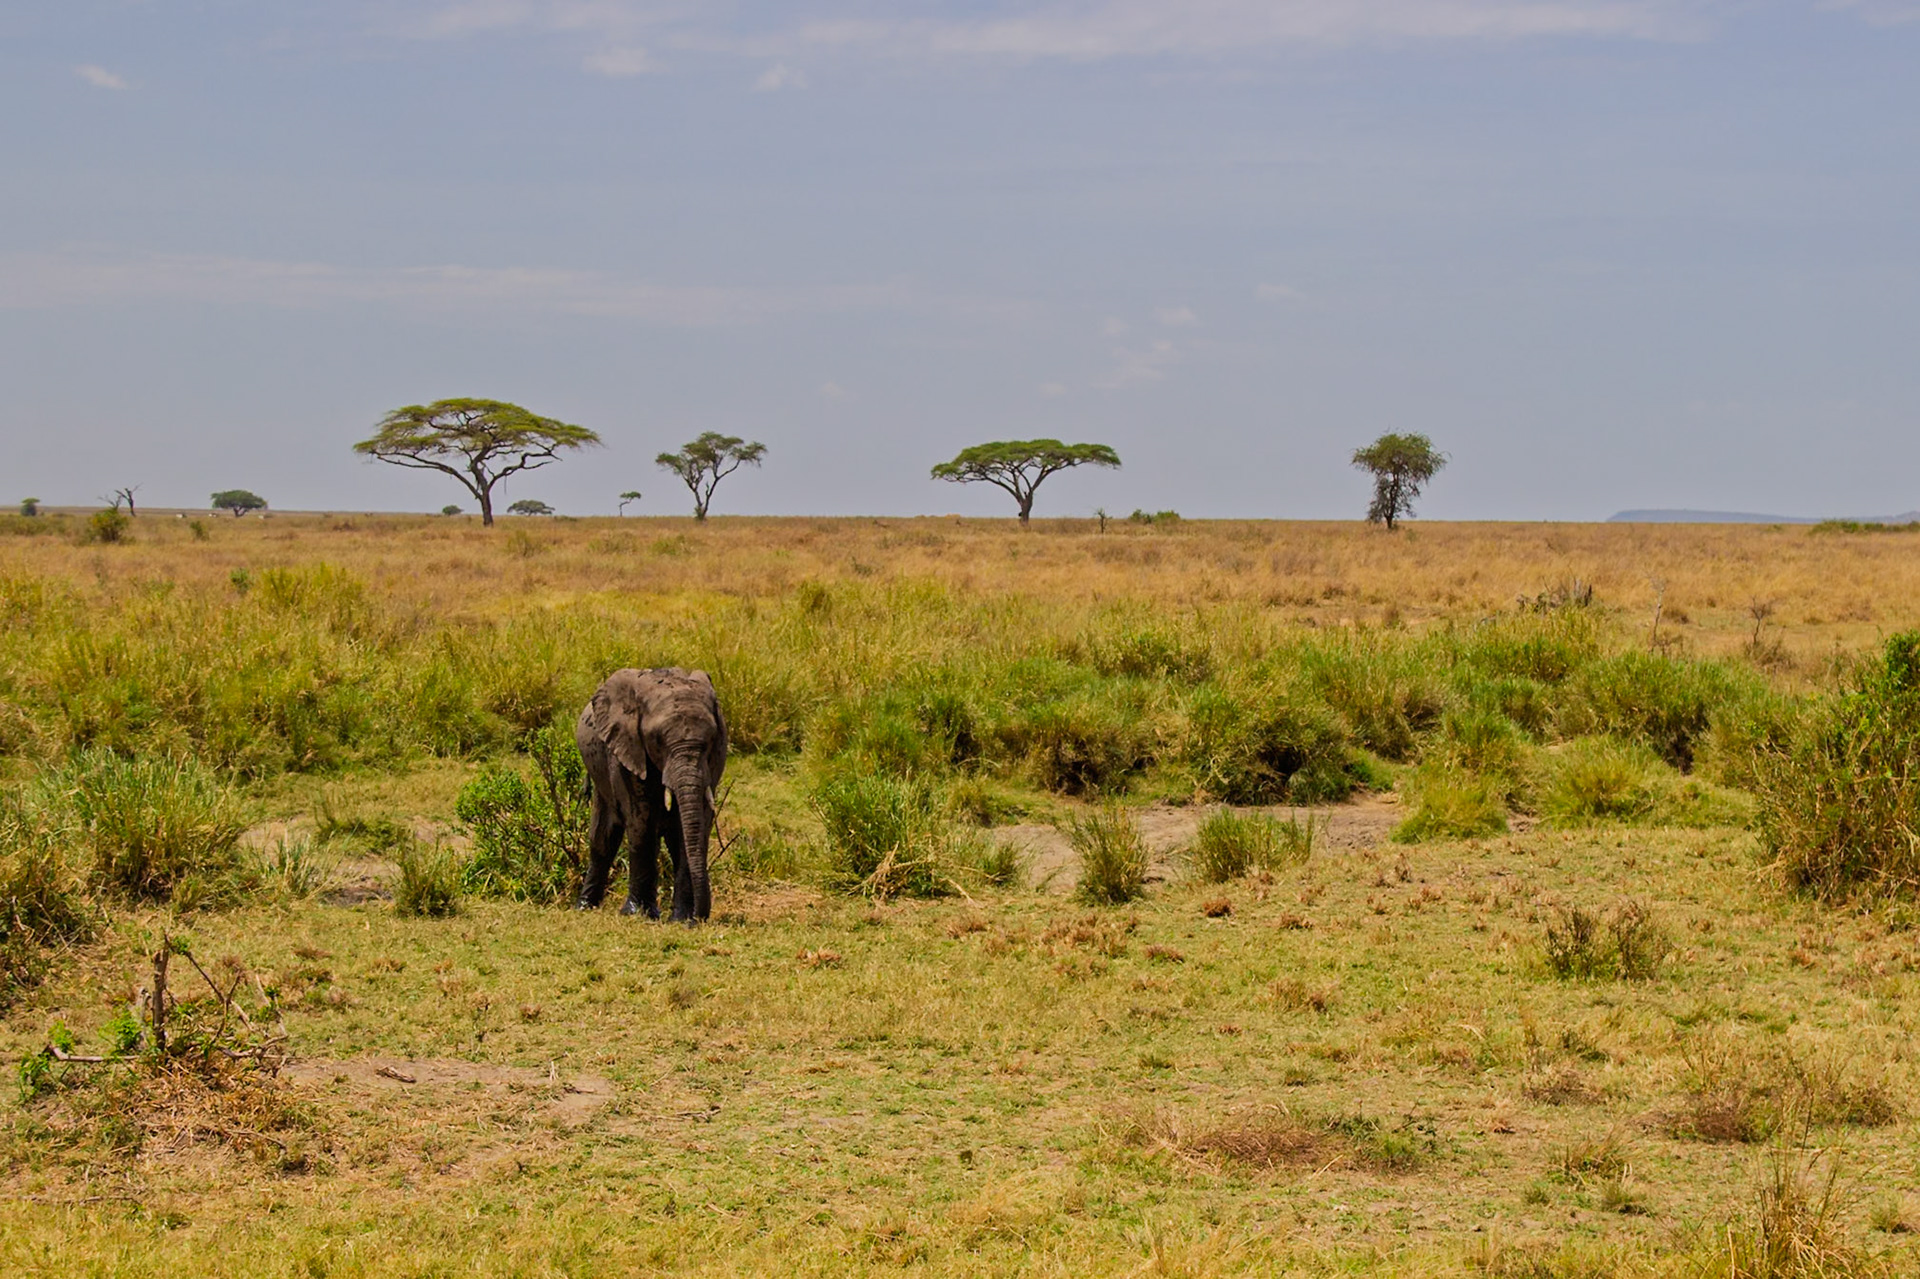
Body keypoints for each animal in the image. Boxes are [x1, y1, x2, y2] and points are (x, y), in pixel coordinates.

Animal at [575, 667, 728, 922]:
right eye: (657, 740)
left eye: (710, 741)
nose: (699, 918)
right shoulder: (626, 750)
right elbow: (640, 821)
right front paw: (635, 914)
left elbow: (691, 827)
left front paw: (681, 920)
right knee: (603, 838)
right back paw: (584, 907)